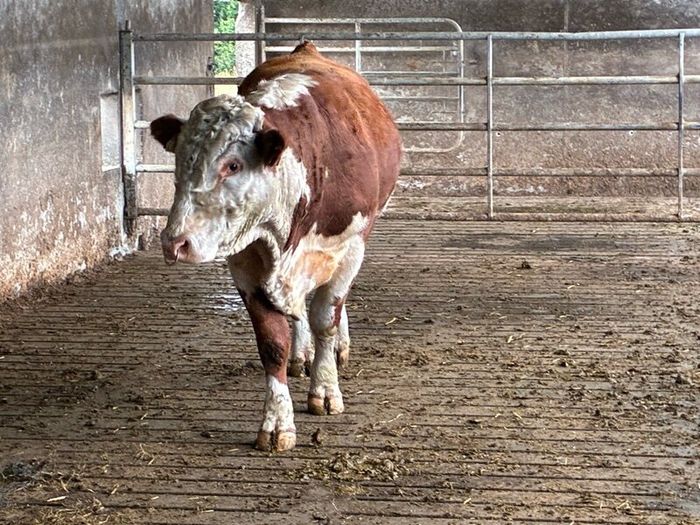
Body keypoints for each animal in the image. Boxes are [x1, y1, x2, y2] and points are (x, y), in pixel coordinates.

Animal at [150, 42, 401, 452]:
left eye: (233, 165)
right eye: (179, 163)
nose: (175, 242)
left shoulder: (348, 247)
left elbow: (326, 318)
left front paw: (325, 388)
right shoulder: (247, 263)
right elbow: (272, 342)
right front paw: (276, 422)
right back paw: (302, 355)